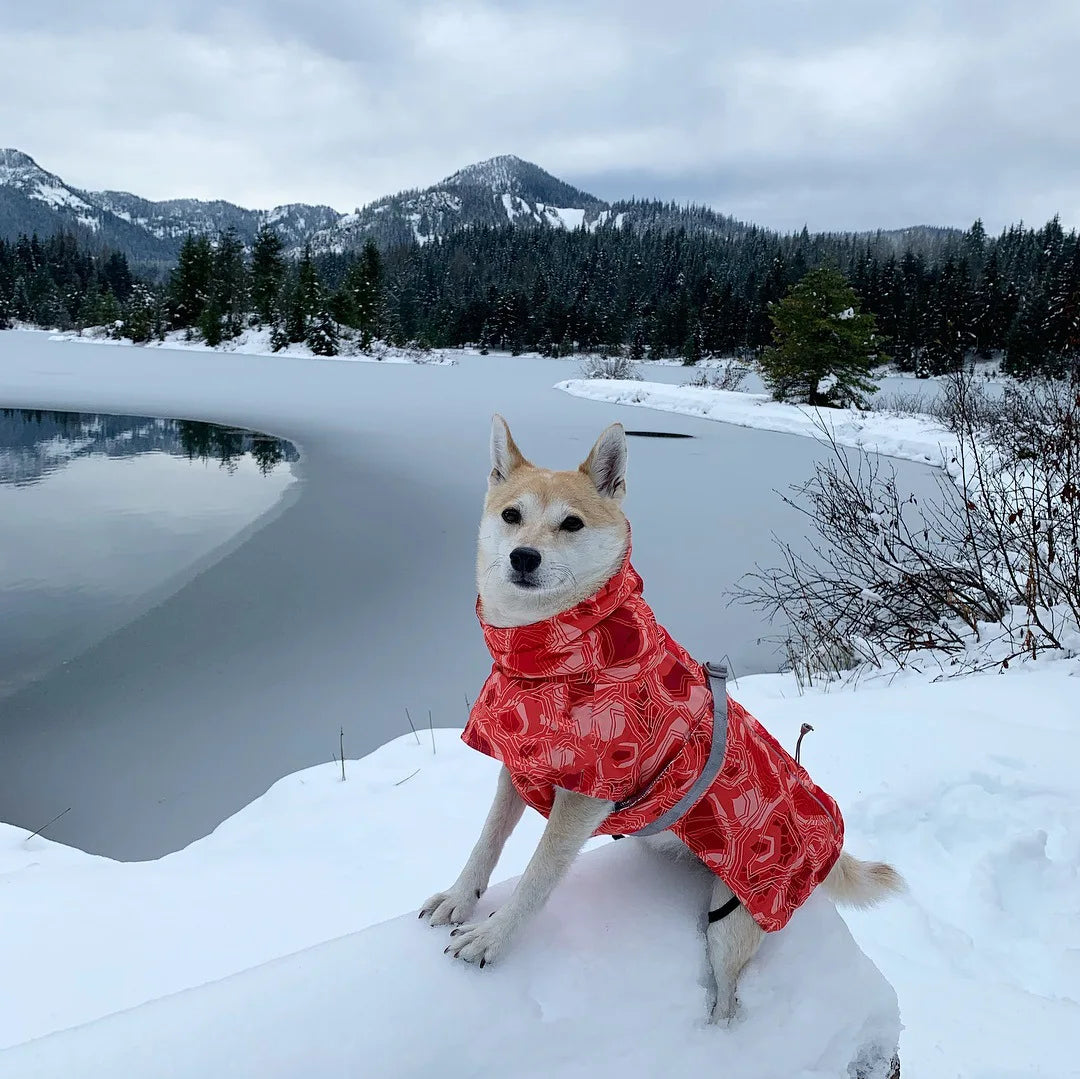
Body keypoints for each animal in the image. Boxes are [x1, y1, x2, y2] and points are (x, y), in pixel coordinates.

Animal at [421, 416, 902, 1023]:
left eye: (571, 523)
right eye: (511, 515)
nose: (523, 558)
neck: (558, 659)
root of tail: (829, 843)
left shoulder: (585, 797)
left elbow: (537, 878)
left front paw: (492, 937)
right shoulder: (519, 765)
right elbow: (486, 842)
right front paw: (460, 898)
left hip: (732, 918)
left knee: (729, 998)